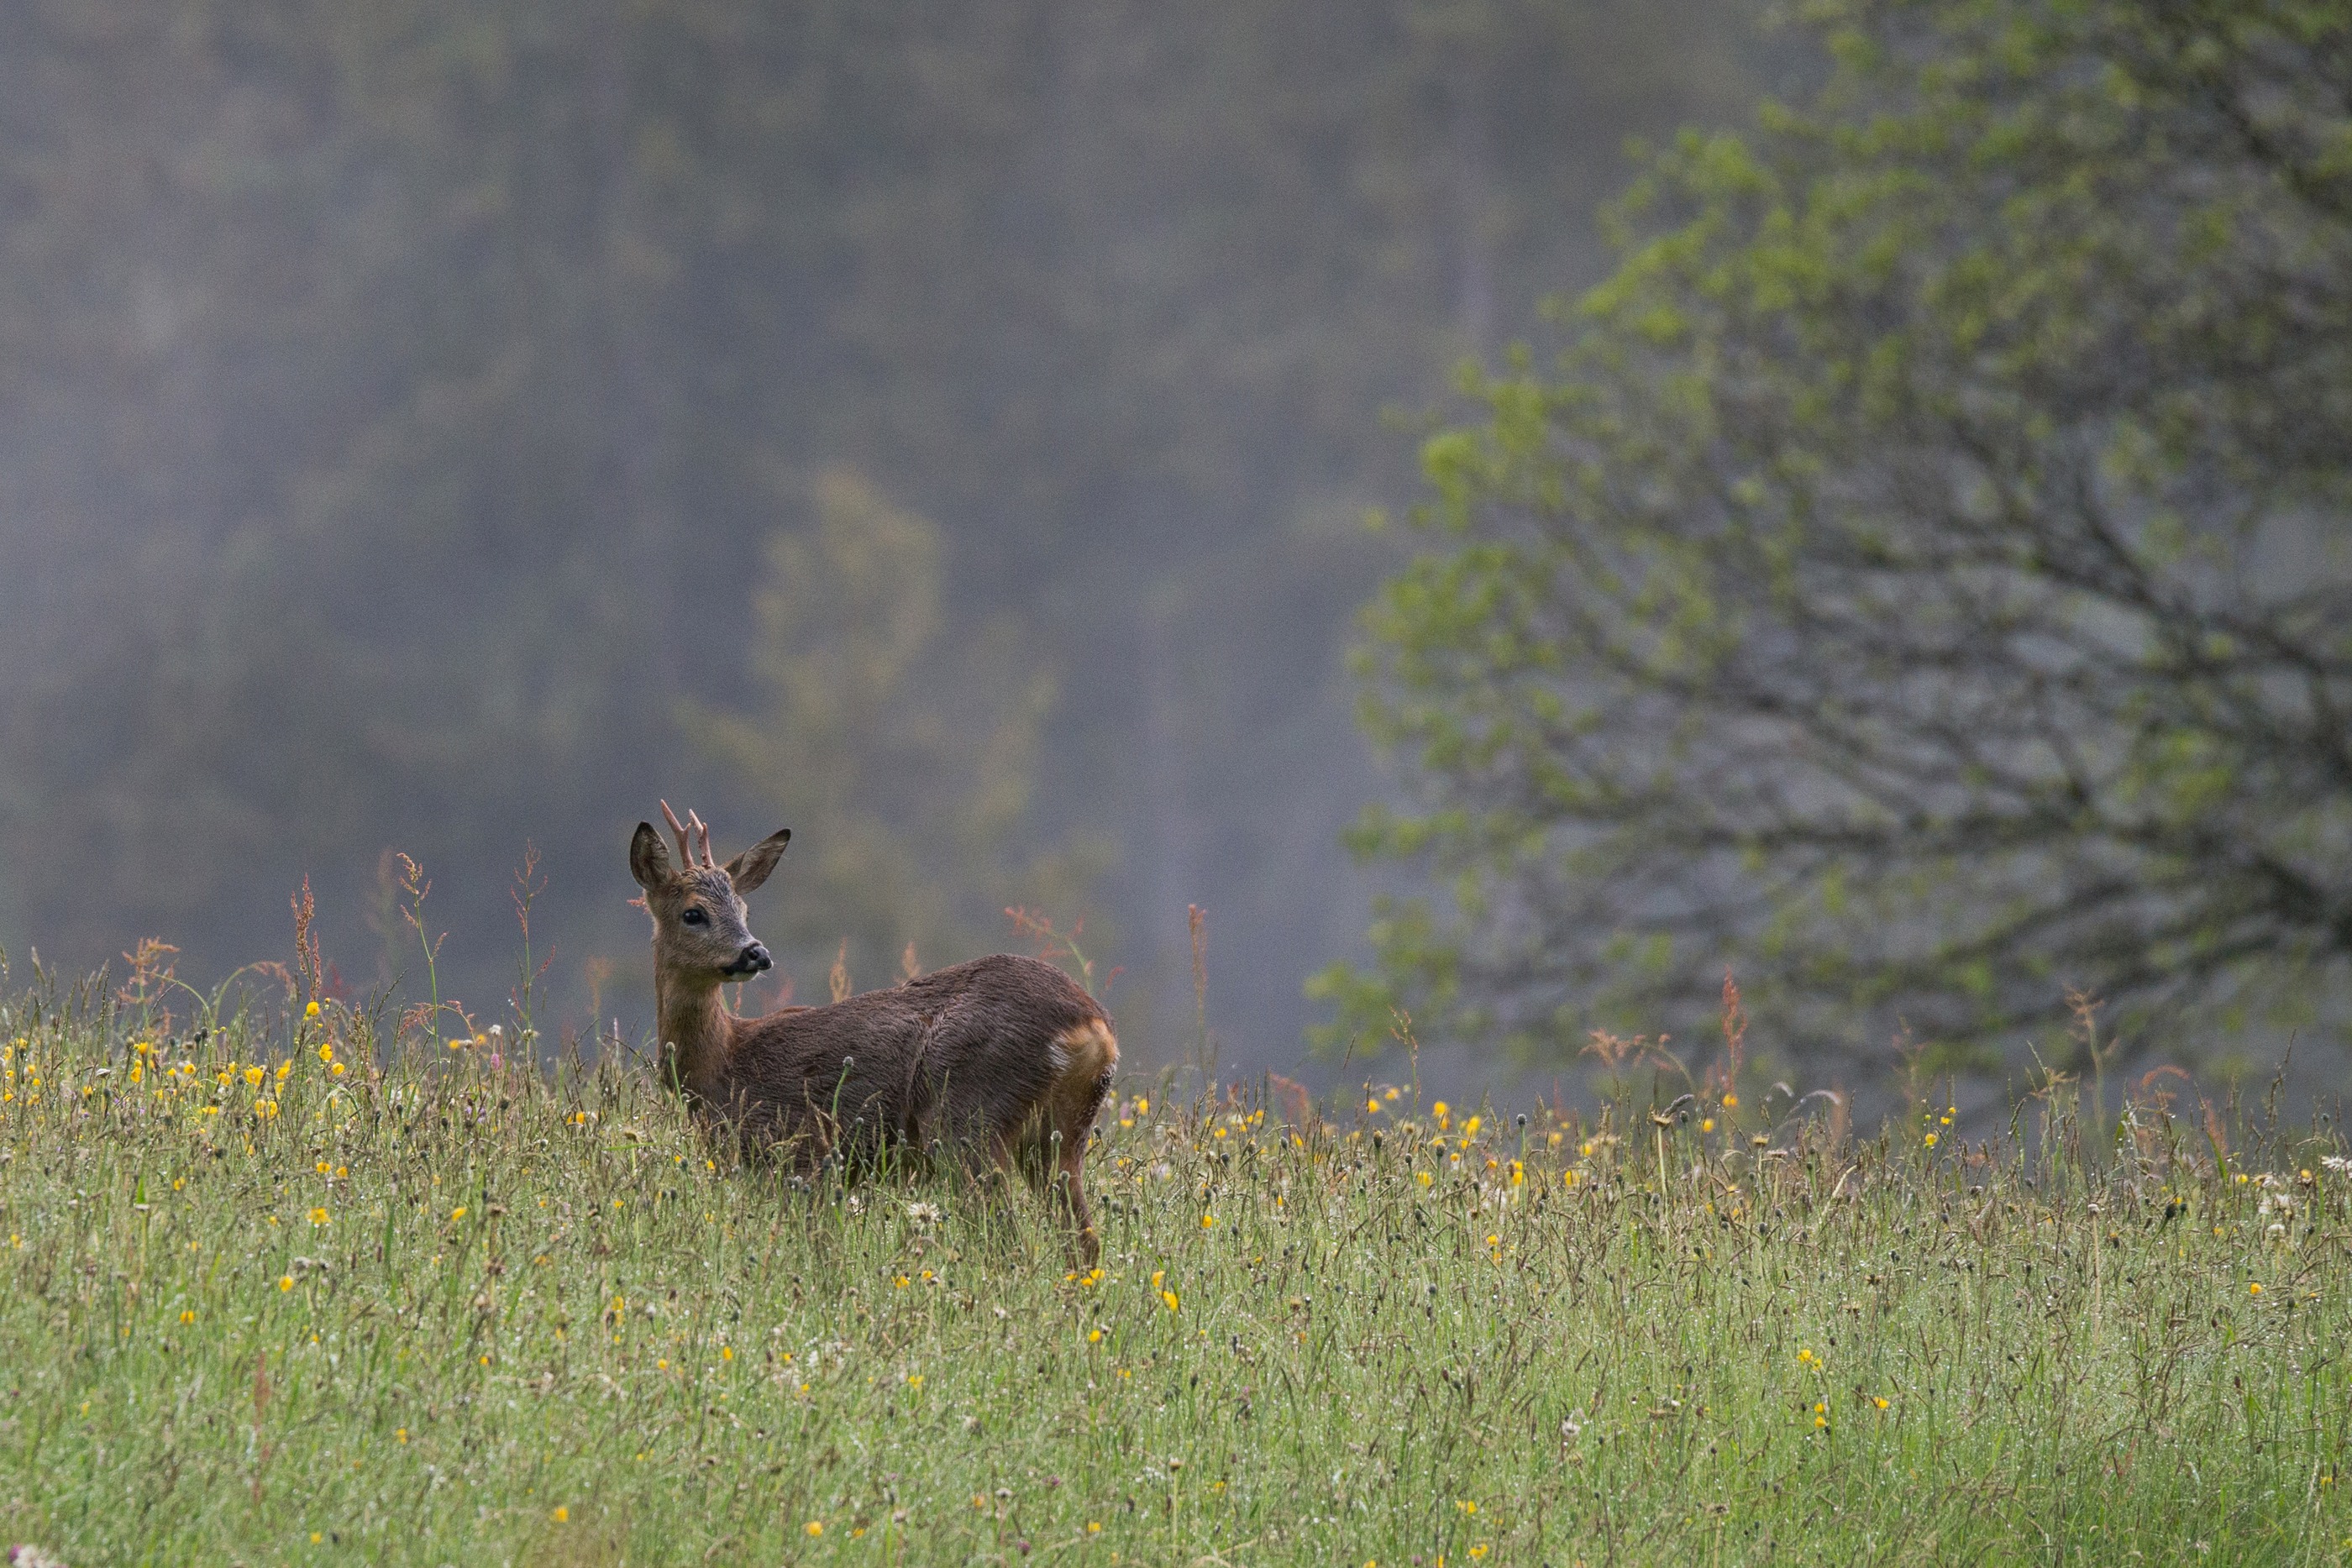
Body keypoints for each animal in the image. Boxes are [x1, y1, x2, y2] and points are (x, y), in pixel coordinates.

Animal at [630, 799, 1115, 1260]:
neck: (723, 1064)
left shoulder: (801, 1159)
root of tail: (1093, 1027)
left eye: (743, 909)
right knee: (1084, 1242)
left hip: (965, 1117)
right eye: (693, 913)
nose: (756, 952)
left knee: (1007, 1238)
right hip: (1058, 1134)